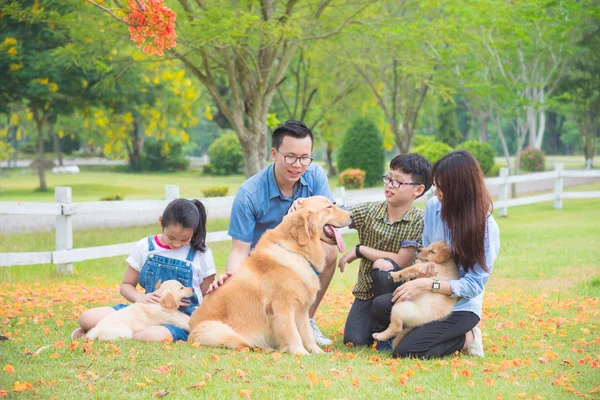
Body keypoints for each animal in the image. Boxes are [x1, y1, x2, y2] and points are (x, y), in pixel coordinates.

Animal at [190, 195, 352, 354]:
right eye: (329, 206)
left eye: (333, 203)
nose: (351, 215)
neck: (297, 251)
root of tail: (190, 330)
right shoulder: (282, 307)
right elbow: (292, 333)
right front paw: (300, 353)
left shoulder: (302, 309)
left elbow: (307, 333)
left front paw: (317, 352)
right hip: (218, 331)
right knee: (244, 345)